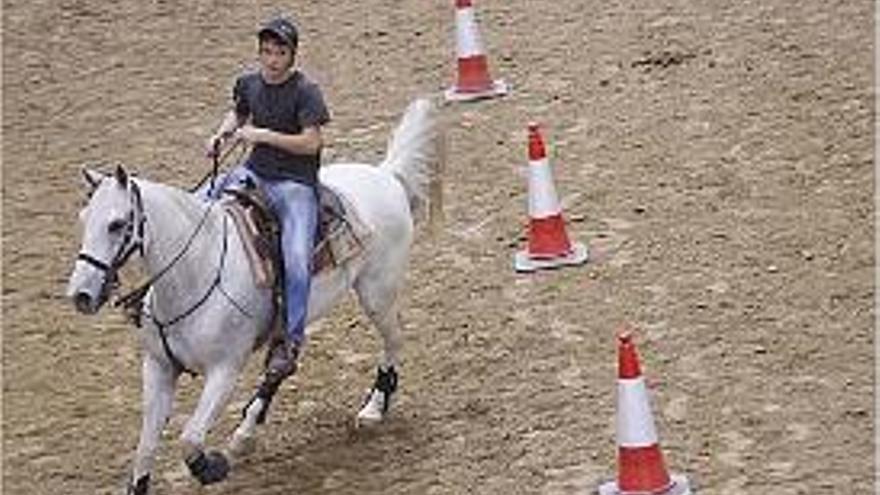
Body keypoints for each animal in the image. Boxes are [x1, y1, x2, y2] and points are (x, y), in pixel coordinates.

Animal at [67, 98, 438, 495]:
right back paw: (246, 433)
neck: (195, 271)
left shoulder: (225, 369)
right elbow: (146, 446)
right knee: (281, 366)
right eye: (83, 219)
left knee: (393, 341)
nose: (81, 294)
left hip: (377, 293)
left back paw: (374, 408)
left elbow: (190, 438)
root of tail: (387, 175)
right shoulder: (158, 368)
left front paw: (211, 467)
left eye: (117, 224)